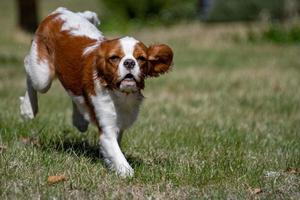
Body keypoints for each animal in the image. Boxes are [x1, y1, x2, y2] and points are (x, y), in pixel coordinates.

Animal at [19, 7, 172, 177]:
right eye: (114, 58)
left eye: (141, 58)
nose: (129, 62)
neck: (120, 94)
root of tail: (59, 12)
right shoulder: (107, 129)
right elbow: (117, 154)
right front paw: (126, 171)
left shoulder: (120, 124)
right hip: (42, 75)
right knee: (28, 67)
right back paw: (28, 108)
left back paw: (79, 120)